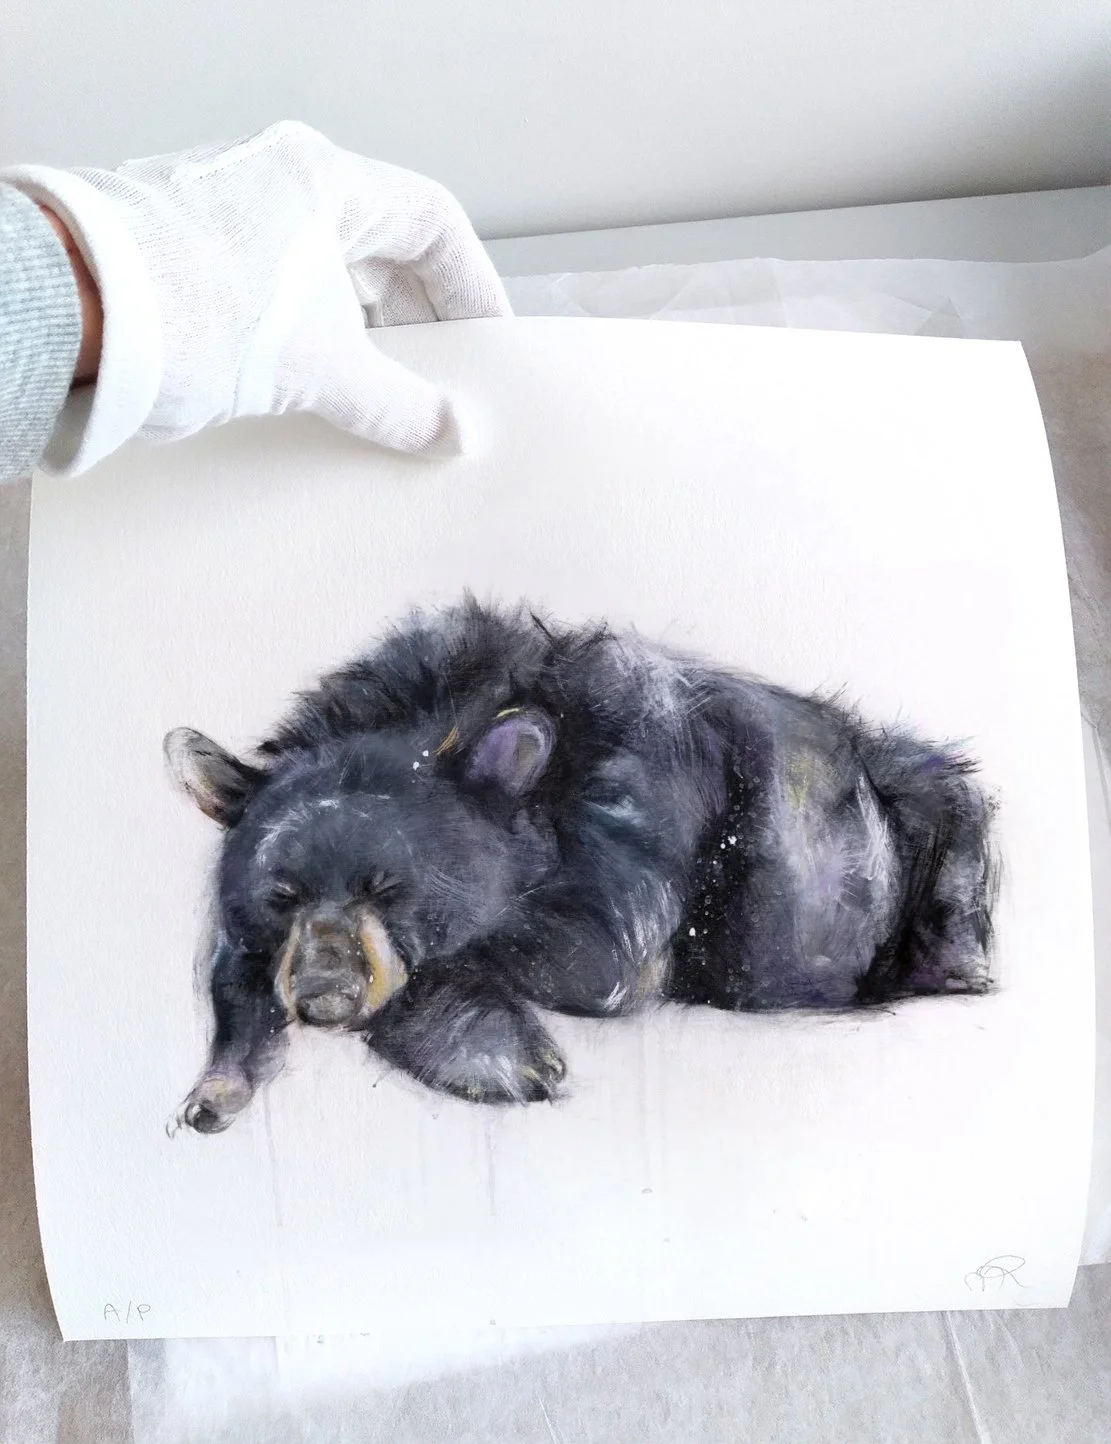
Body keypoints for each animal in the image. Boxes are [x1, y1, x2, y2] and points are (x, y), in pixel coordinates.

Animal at [166, 596, 998, 1133]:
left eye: (391, 887)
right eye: (280, 893)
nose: (323, 999)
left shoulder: (634, 837)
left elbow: (585, 961)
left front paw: (501, 1055)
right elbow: (241, 964)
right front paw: (219, 1083)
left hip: (918, 828)